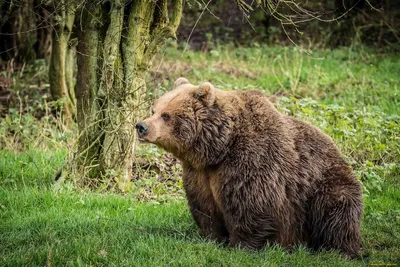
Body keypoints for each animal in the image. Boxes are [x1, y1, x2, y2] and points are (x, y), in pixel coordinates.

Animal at [136, 78, 364, 258]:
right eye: (154, 109)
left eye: (166, 115)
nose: (141, 126)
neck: (218, 149)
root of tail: (336, 149)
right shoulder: (199, 174)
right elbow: (204, 207)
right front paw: (212, 238)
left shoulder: (250, 160)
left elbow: (250, 205)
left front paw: (240, 246)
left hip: (324, 185)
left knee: (336, 212)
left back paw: (339, 249)